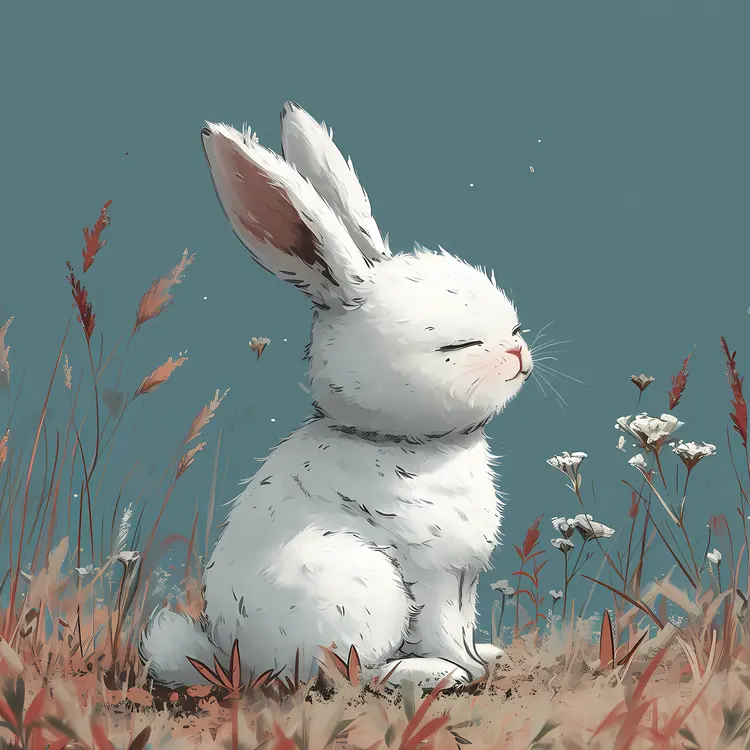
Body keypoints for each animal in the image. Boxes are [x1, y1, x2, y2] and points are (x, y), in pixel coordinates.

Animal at [139, 102, 534, 690]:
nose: (518, 352)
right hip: (362, 589)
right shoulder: (433, 574)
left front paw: (483, 656)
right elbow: (442, 629)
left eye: (512, 325)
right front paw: (466, 669)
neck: (404, 440)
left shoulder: (464, 578)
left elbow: (463, 625)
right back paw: (426, 675)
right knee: (343, 674)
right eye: (457, 346)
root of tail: (236, 660)